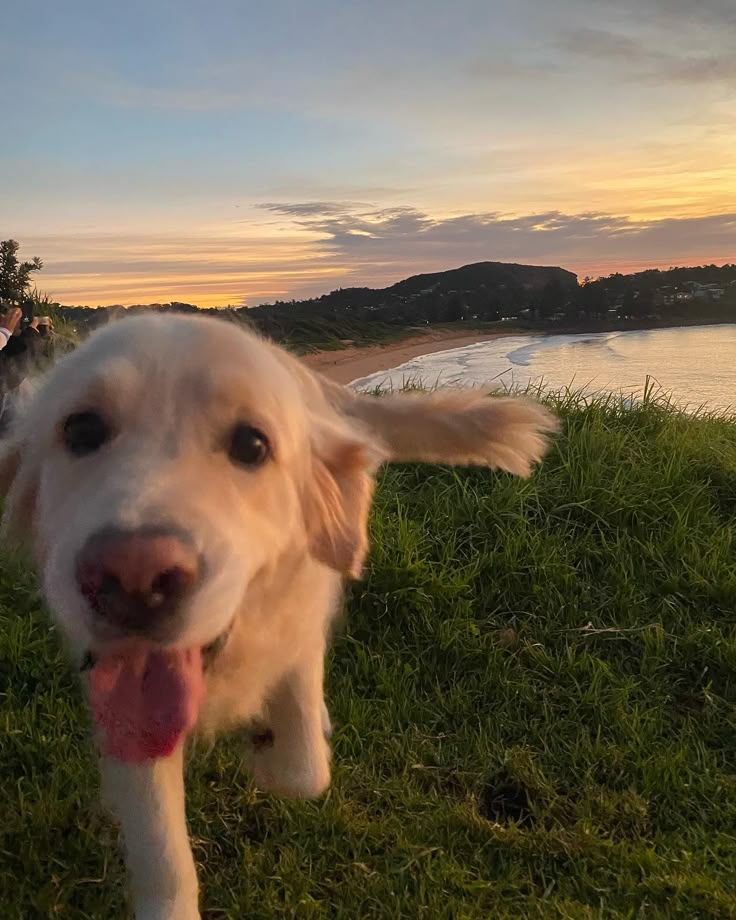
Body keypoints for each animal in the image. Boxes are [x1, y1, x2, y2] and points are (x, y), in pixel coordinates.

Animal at [0, 312, 556, 916]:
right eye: (81, 430)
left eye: (252, 444)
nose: (133, 577)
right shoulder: (125, 705)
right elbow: (161, 851)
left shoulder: (301, 628)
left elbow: (307, 768)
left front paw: (267, 752)